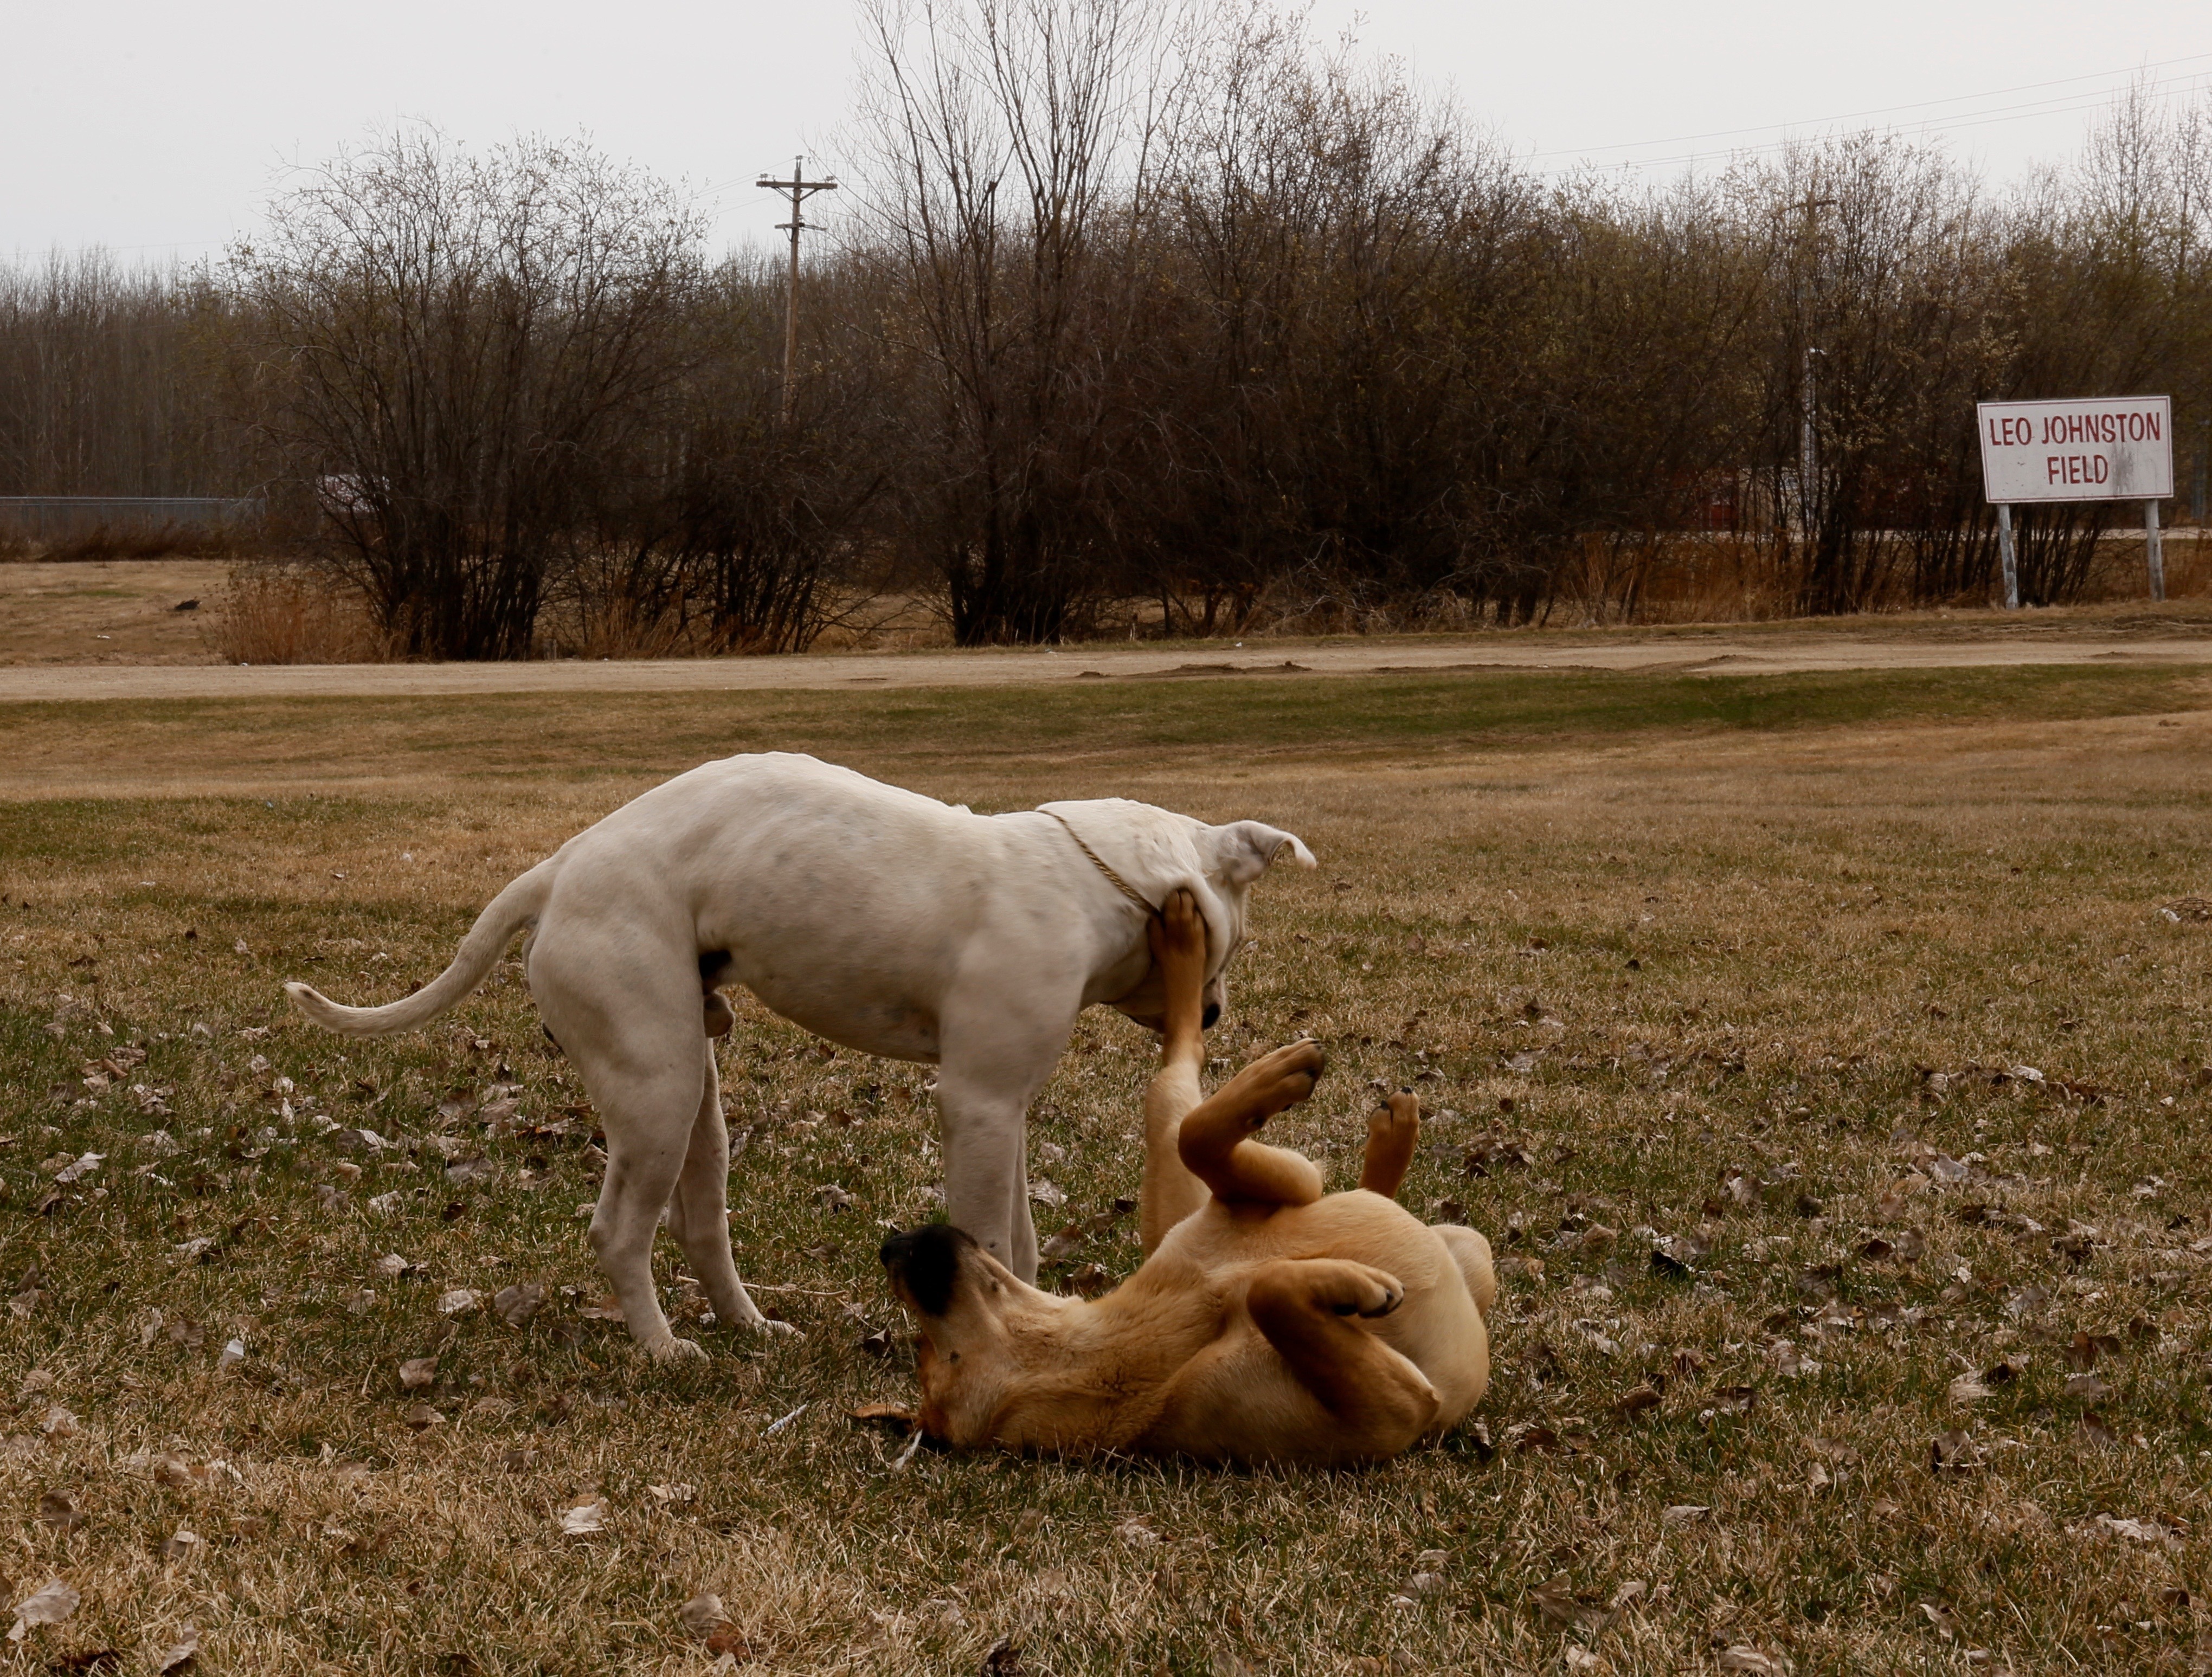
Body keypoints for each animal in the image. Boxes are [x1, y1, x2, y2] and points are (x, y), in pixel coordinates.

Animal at [283, 756, 1301, 1363]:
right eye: (1236, 941)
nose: (1212, 1012)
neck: (1091, 880)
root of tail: (559, 867)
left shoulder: (1005, 1108)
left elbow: (1018, 1238)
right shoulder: (978, 1103)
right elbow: (989, 1235)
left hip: (695, 1099)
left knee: (699, 1225)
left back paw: (750, 1325)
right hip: (656, 1091)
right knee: (618, 1231)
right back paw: (663, 1349)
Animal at [871, 894, 1495, 1469]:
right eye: (930, 1351)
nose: (892, 1245)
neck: (1110, 1350)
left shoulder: (1247, 1198)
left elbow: (1208, 1141)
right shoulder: (1395, 1413)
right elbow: (1269, 1288)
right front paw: (1349, 1284)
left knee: (1182, 1074)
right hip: (1474, 1254)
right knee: (1177, 1085)